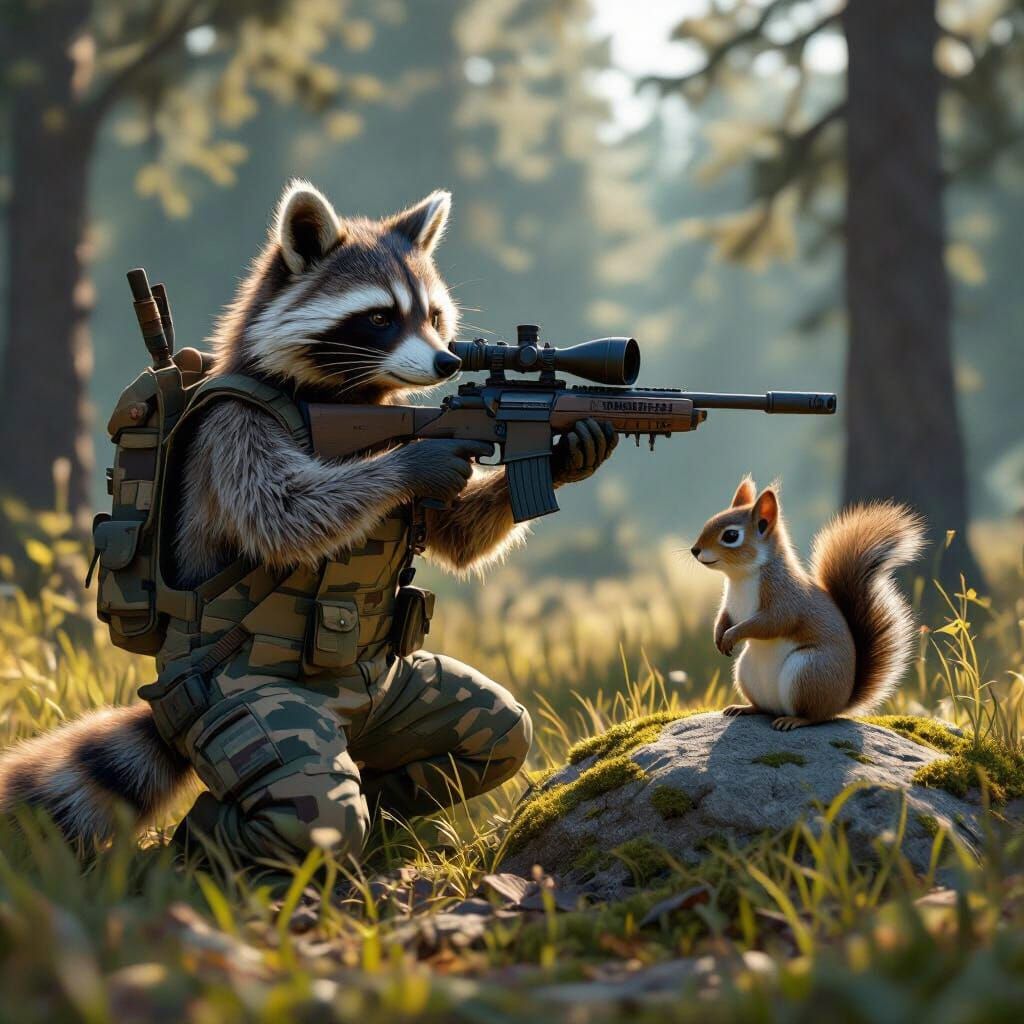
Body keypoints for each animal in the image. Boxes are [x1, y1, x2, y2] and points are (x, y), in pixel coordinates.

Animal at [691, 476, 926, 731]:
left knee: (815, 716)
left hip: (808, 673)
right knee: (764, 707)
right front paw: (719, 635)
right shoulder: (730, 606)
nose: (695, 550)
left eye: (731, 536)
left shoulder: (785, 599)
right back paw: (744, 708)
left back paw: (793, 720)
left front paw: (732, 635)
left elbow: (770, 623)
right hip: (746, 672)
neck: (741, 577)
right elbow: (724, 617)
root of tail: (841, 702)